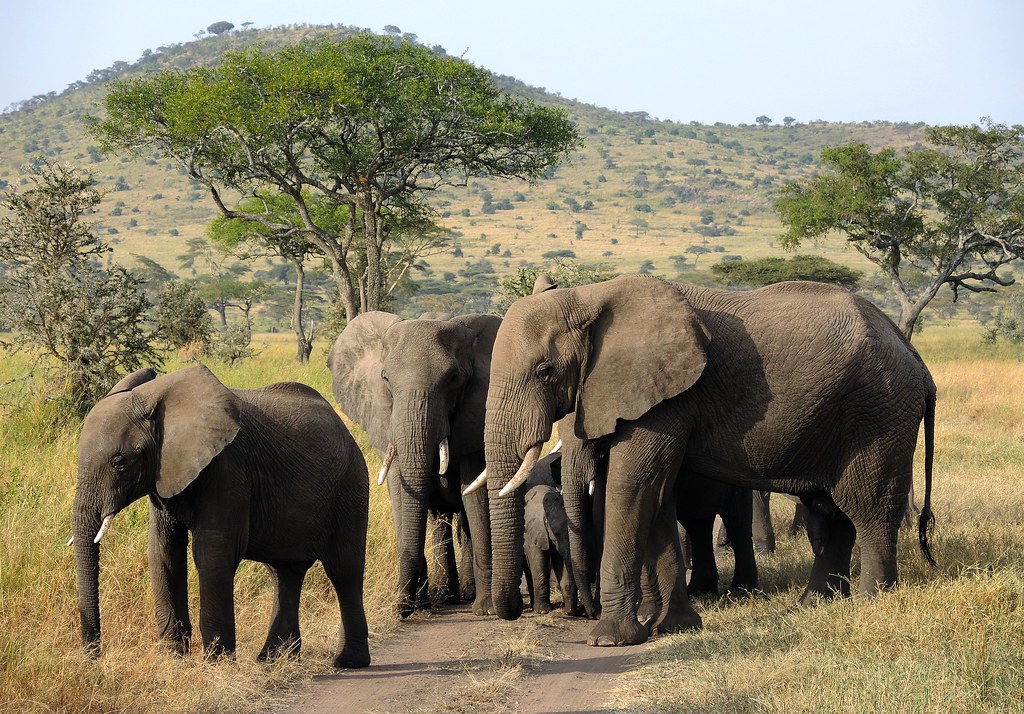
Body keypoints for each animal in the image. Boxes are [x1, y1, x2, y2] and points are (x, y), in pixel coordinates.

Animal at [71, 366, 370, 668]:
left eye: (119, 462)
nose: (92, 659)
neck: (156, 397)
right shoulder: (163, 474)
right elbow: (163, 550)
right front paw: (173, 660)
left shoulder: (227, 468)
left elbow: (212, 552)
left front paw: (216, 664)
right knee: (284, 572)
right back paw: (273, 660)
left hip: (351, 487)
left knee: (344, 570)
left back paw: (348, 661)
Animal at [328, 311, 500, 618]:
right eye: (385, 378)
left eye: (454, 378)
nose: (401, 610)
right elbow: (401, 493)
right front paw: (416, 606)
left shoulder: (475, 414)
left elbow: (475, 498)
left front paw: (486, 610)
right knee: (438, 518)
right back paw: (445, 597)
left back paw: (464, 595)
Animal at [484, 275, 936, 647]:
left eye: (544, 370)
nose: (510, 613)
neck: (589, 295)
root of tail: (915, 356)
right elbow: (658, 495)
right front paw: (675, 627)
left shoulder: (667, 398)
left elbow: (633, 487)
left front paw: (610, 639)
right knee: (827, 512)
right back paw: (814, 605)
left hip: (878, 415)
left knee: (869, 509)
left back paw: (871, 604)